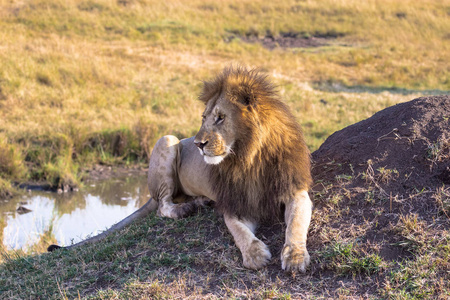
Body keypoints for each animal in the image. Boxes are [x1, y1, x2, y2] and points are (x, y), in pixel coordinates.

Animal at [48, 67, 312, 272]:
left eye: (220, 117)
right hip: (167, 140)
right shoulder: (234, 202)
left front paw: (295, 256)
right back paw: (186, 208)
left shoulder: (294, 190)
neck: (250, 158)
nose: (198, 144)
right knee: (163, 207)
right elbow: (240, 232)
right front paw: (255, 255)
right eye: (204, 117)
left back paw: (199, 201)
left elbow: (297, 224)